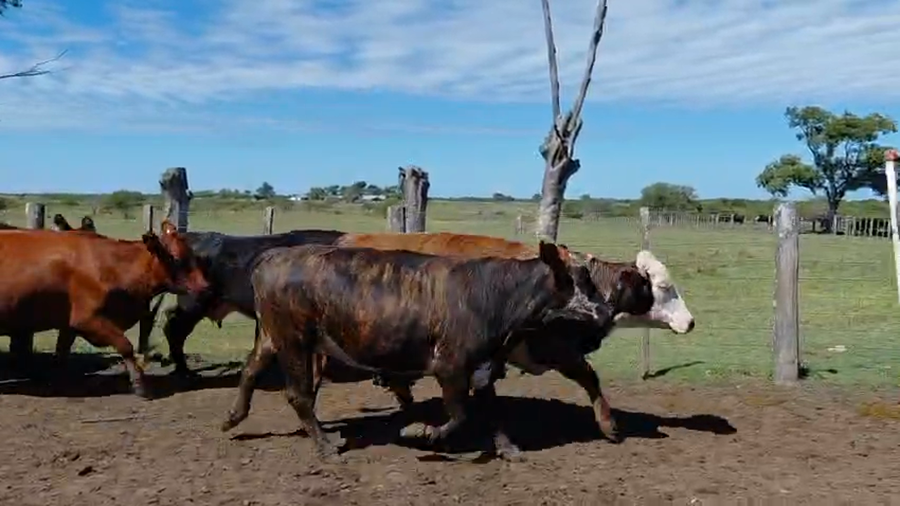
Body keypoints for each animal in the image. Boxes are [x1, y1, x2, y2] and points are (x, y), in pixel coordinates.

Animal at [0, 220, 209, 398]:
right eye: (177, 258)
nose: (205, 286)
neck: (109, 265)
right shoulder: (88, 319)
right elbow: (125, 345)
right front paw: (139, 384)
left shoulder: (69, 324)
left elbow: (61, 353)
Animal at [223, 231, 693, 442]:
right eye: (661, 286)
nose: (690, 323)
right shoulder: (553, 350)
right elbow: (589, 377)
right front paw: (609, 425)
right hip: (301, 340)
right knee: (301, 386)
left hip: (275, 336)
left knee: (252, 369)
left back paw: (236, 417)